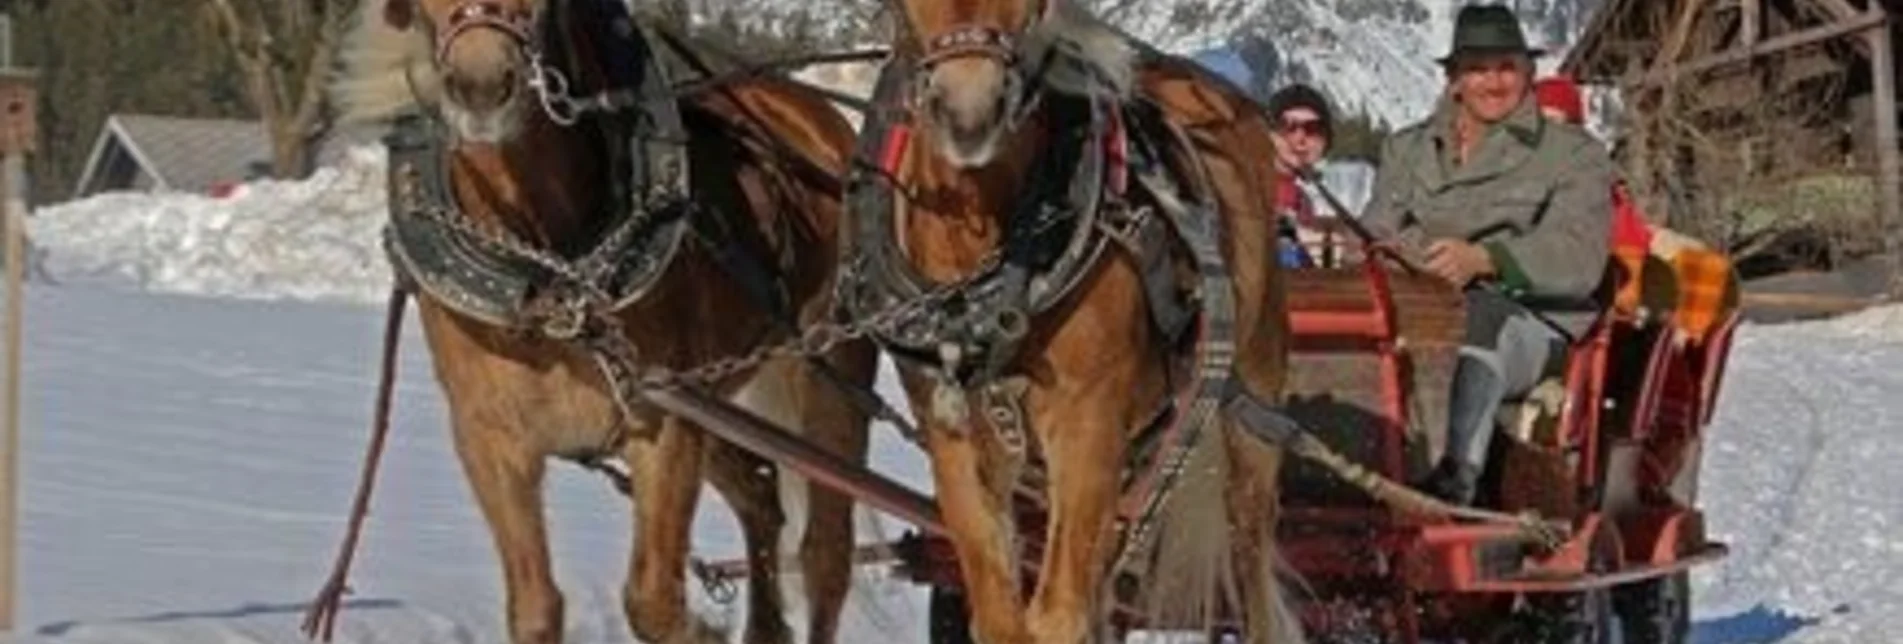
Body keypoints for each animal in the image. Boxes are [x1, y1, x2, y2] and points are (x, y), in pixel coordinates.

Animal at [333, 1, 875, 644]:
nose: (481, 85)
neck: (548, 266)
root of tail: (813, 113)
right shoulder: (490, 438)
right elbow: (536, 608)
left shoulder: (664, 427)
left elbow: (654, 602)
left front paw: (702, 630)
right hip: (717, 406)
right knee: (762, 499)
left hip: (826, 379)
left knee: (826, 557)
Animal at [841, 0, 1316, 640]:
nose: (968, 112)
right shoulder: (957, 439)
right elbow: (1001, 615)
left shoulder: (1087, 423)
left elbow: (1055, 615)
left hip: (1251, 407)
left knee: (1250, 555)